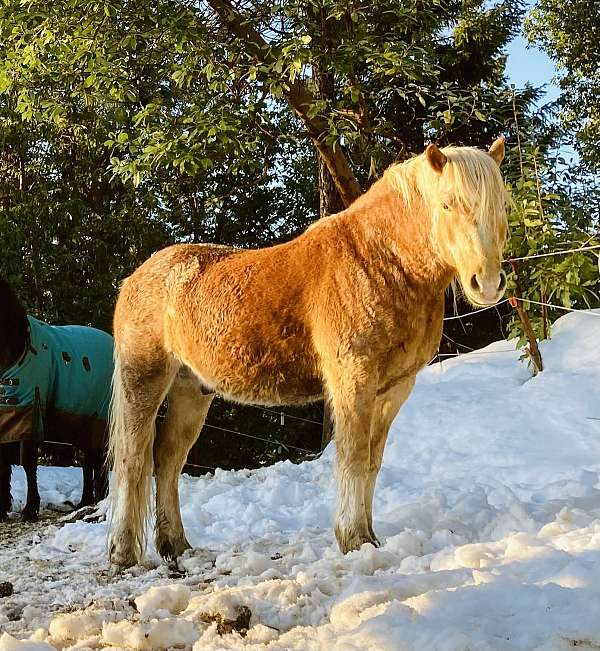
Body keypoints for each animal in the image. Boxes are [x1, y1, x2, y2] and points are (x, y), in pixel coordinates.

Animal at [0, 278, 112, 524]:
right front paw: (2, 509)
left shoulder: (31, 411)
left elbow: (28, 462)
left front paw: (30, 510)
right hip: (83, 422)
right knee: (88, 462)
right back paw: (85, 501)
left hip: (101, 420)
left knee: (99, 461)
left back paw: (99, 502)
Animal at [106, 139, 506, 572]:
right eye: (448, 204)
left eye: (501, 205)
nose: (487, 284)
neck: (379, 264)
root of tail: (136, 277)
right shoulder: (353, 383)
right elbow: (352, 457)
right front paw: (354, 541)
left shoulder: (393, 390)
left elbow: (371, 461)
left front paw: (371, 539)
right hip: (145, 381)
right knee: (133, 459)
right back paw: (124, 555)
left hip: (191, 390)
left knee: (168, 460)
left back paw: (176, 547)